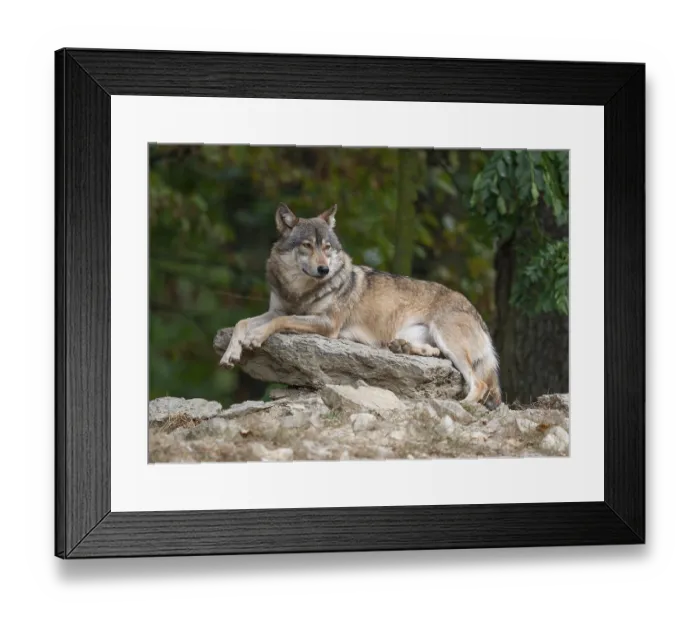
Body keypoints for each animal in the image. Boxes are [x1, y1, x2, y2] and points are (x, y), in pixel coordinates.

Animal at [219, 203, 502, 408]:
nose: (324, 269)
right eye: (307, 245)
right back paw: (403, 347)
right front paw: (230, 353)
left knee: (479, 385)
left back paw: (461, 404)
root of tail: (476, 313)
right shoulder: (276, 309)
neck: (299, 292)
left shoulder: (327, 324)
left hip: (448, 339)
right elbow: (242, 322)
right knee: (435, 354)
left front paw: (255, 338)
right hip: (428, 339)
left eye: (327, 247)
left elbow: (280, 322)